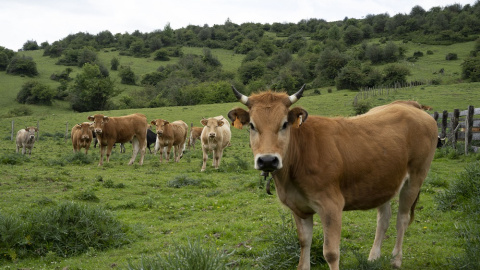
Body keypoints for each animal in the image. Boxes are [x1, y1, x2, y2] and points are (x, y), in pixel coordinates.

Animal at [229, 86, 438, 270]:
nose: (267, 160)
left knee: (402, 219)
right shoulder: (298, 208)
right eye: (252, 126)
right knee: (384, 218)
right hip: (383, 180)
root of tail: (409, 106)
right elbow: (304, 242)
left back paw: (396, 260)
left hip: (416, 177)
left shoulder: (332, 205)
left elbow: (330, 253)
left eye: (284, 124)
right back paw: (373, 257)